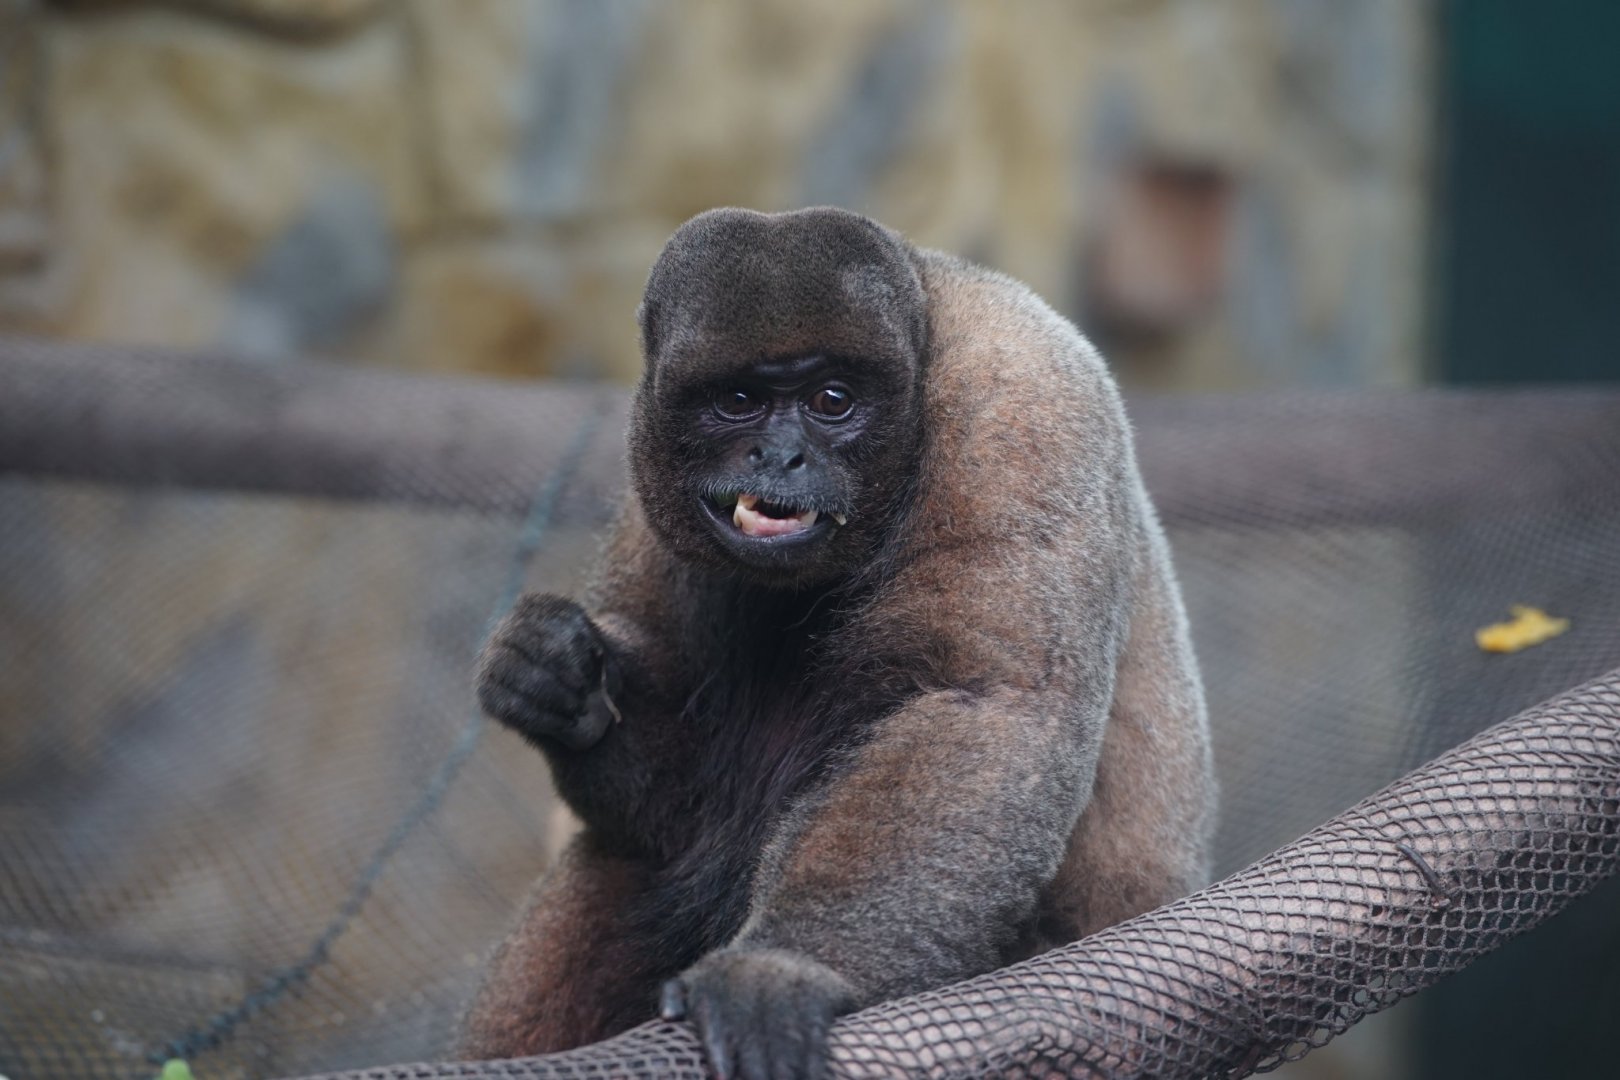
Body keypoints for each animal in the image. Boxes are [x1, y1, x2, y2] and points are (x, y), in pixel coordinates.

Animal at [459, 206, 1215, 1080]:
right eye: (739, 401)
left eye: (831, 400)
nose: (782, 456)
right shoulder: (649, 485)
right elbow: (665, 817)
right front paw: (549, 679)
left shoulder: (1021, 410)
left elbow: (984, 704)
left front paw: (784, 967)